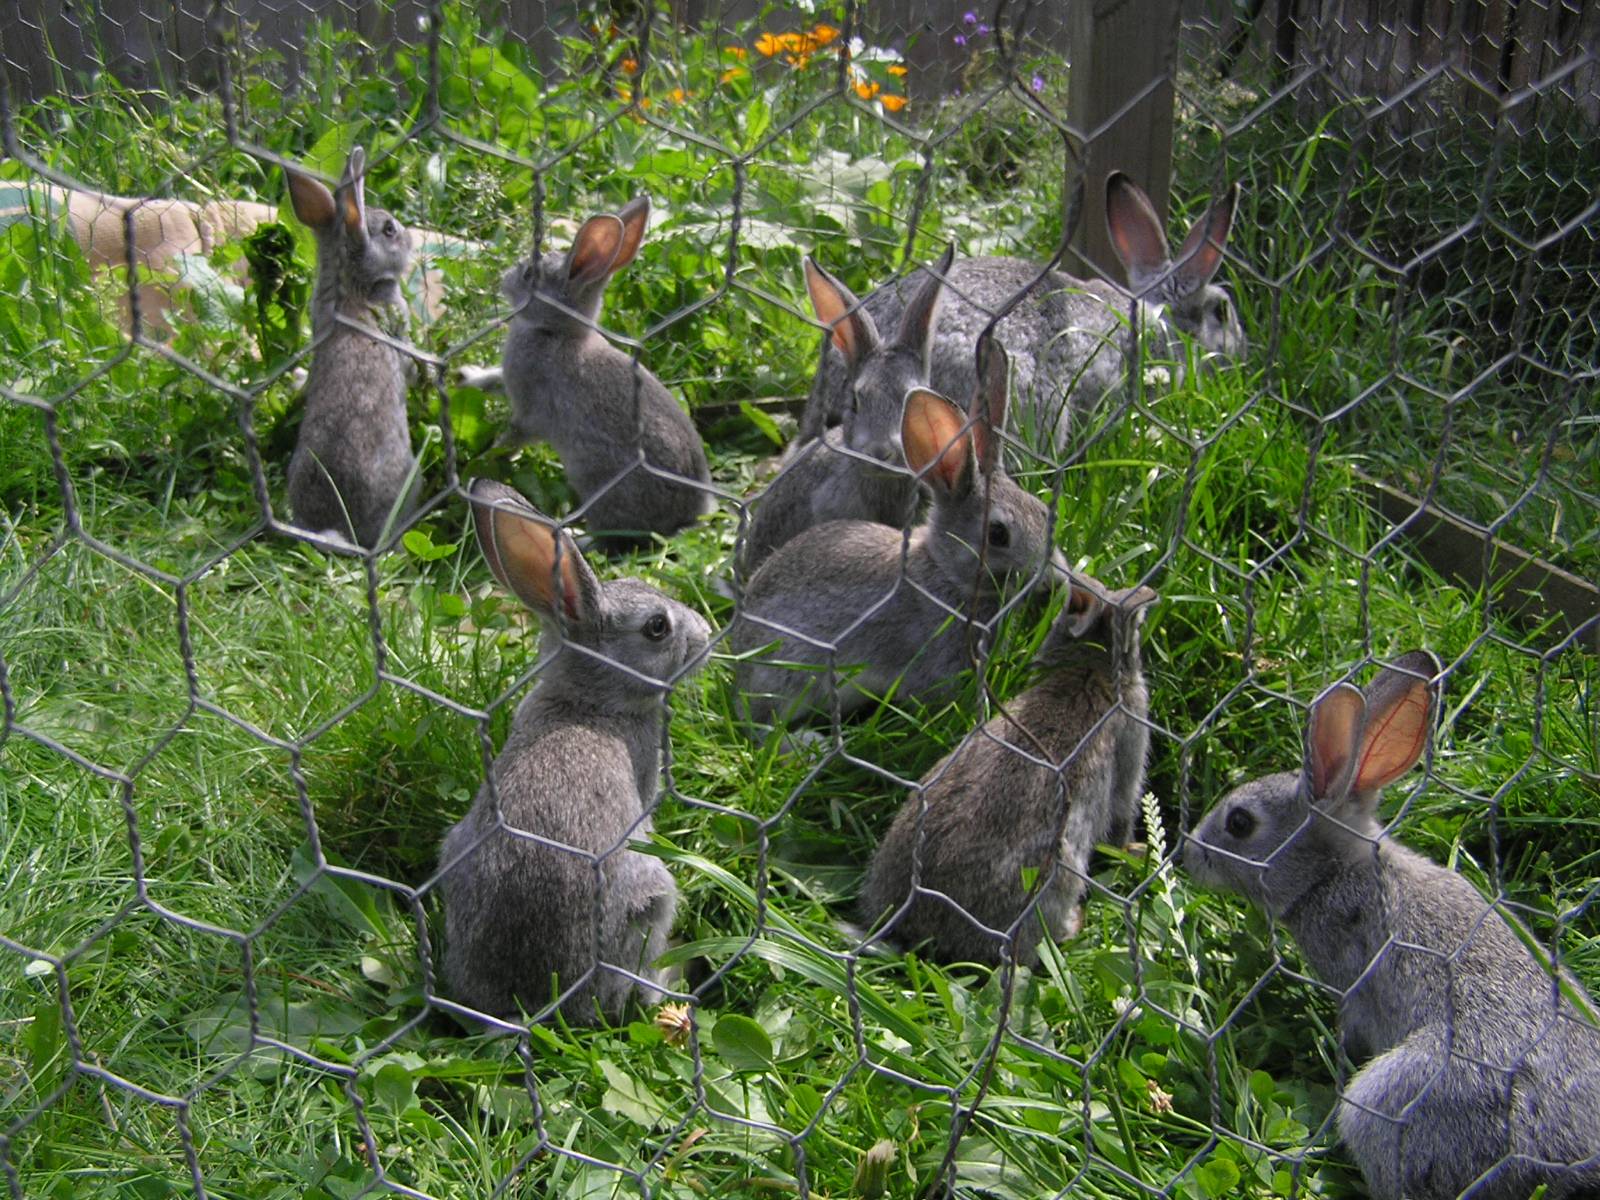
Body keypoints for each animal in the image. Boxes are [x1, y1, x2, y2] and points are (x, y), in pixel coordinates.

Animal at [498, 196, 713, 546]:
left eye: (530, 274)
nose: (504, 279)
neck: (557, 332)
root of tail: (688, 517)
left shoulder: (528, 412)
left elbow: (514, 435)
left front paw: (488, 454)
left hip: (599, 483)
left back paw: (575, 536)